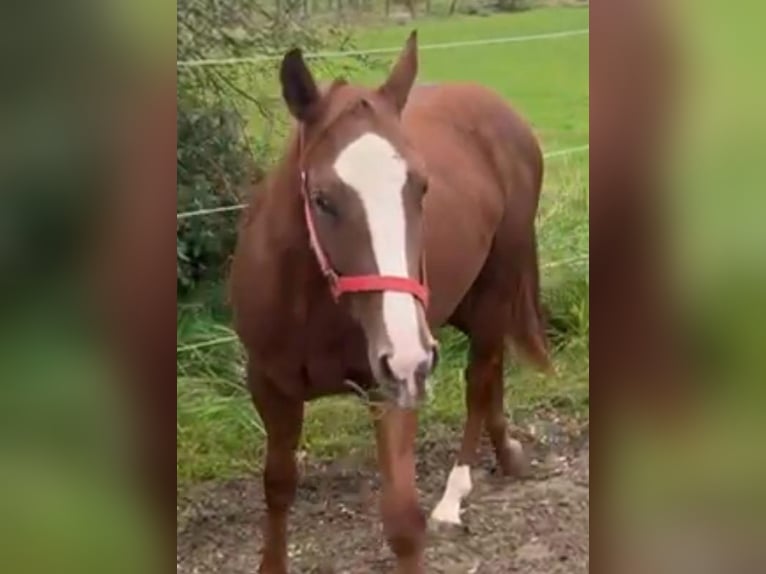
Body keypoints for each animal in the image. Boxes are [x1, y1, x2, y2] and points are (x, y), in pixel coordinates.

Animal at [228, 31, 551, 574]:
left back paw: (454, 496)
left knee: (480, 376)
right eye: (322, 199)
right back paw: (506, 451)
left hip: (493, 288)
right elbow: (277, 486)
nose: (406, 357)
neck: (313, 306)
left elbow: (402, 519)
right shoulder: (268, 385)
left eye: (421, 187)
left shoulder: (393, 389)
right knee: (493, 368)